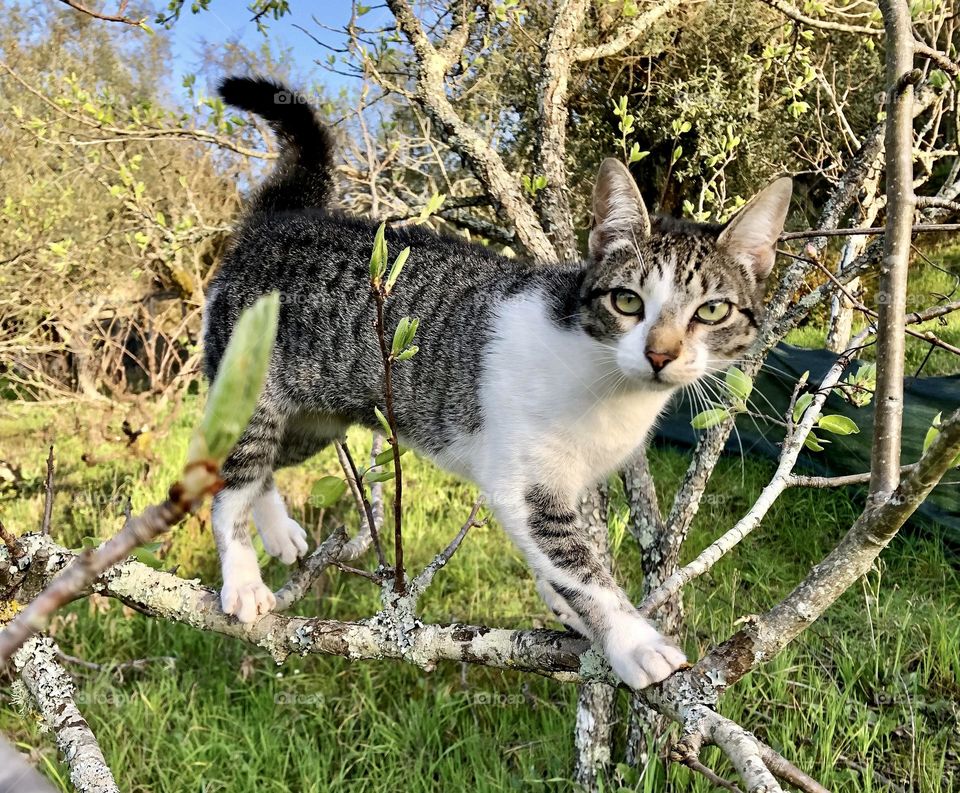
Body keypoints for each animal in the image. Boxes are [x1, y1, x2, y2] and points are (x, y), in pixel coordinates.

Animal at [206, 77, 792, 688]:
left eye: (712, 310)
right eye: (628, 301)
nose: (660, 353)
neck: (610, 383)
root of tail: (280, 221)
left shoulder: (570, 482)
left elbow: (564, 560)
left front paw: (565, 608)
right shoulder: (525, 484)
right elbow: (581, 568)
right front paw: (634, 640)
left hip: (318, 417)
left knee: (267, 465)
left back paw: (277, 530)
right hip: (254, 390)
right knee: (231, 481)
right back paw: (242, 578)